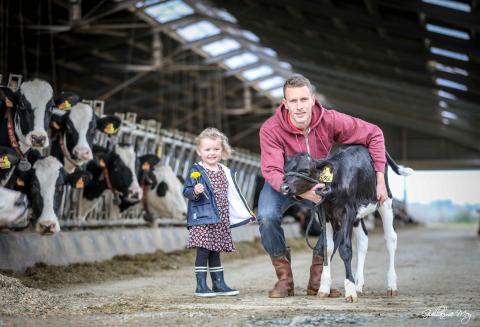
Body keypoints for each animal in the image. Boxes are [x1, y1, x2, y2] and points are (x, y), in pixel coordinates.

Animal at [282, 146, 412, 302]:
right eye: (285, 169)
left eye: (305, 170)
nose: (284, 187)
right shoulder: (324, 214)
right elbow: (327, 248)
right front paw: (324, 288)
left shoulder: (347, 212)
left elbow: (345, 249)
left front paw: (350, 290)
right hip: (358, 215)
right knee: (363, 241)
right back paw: (359, 284)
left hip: (385, 200)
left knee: (391, 239)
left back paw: (391, 286)